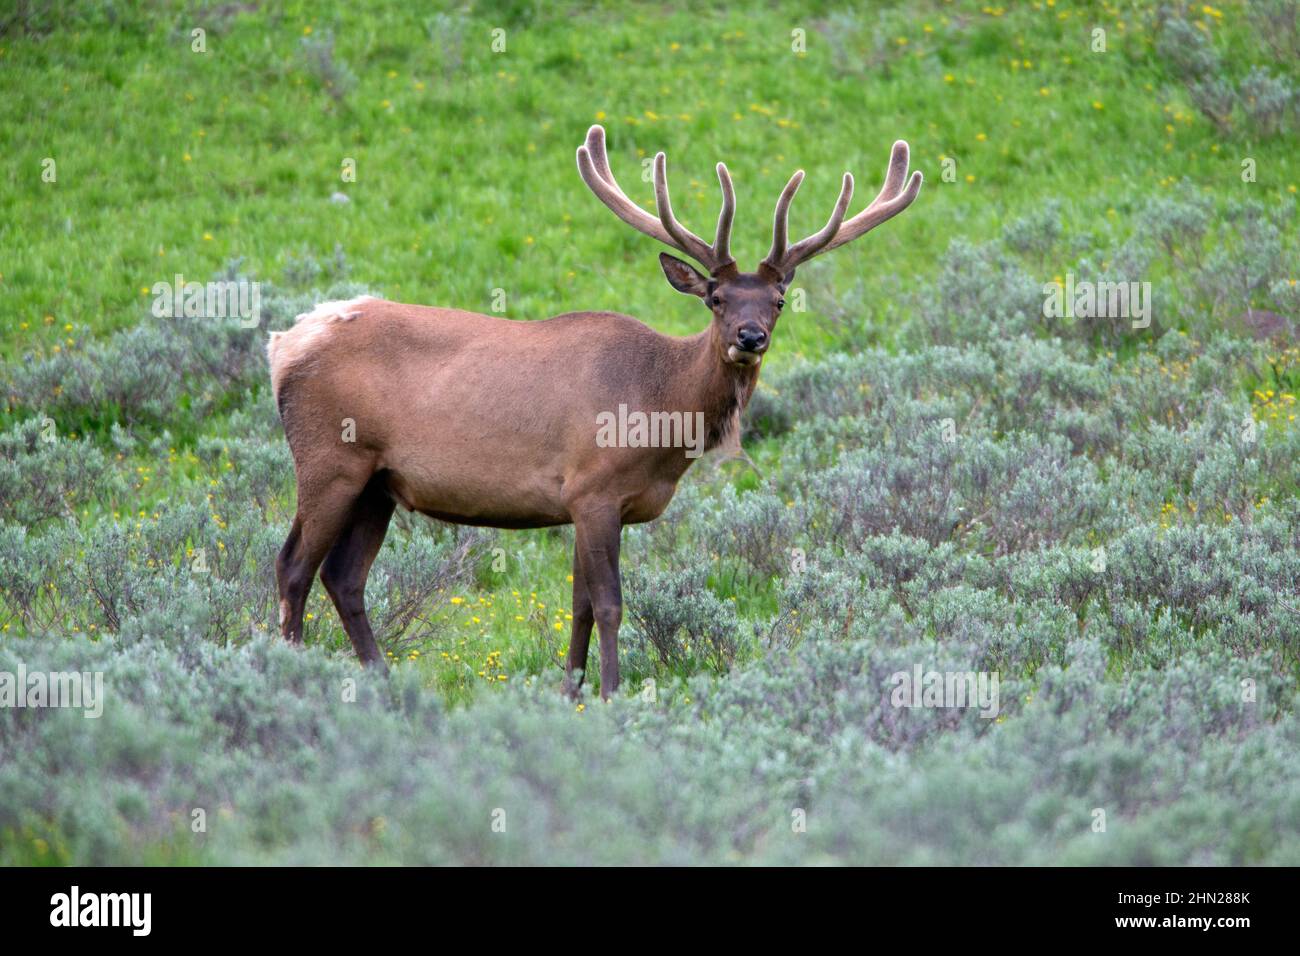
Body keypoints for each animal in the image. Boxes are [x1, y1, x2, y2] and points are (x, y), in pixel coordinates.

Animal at [269, 123, 925, 697]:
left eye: (779, 300)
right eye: (715, 298)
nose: (749, 336)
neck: (661, 419)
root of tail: (282, 344)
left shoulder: (591, 502)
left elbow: (580, 605)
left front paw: (572, 691)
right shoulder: (593, 488)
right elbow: (609, 604)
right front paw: (612, 693)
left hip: (378, 482)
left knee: (344, 577)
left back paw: (379, 678)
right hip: (329, 458)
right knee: (293, 567)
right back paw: (290, 672)